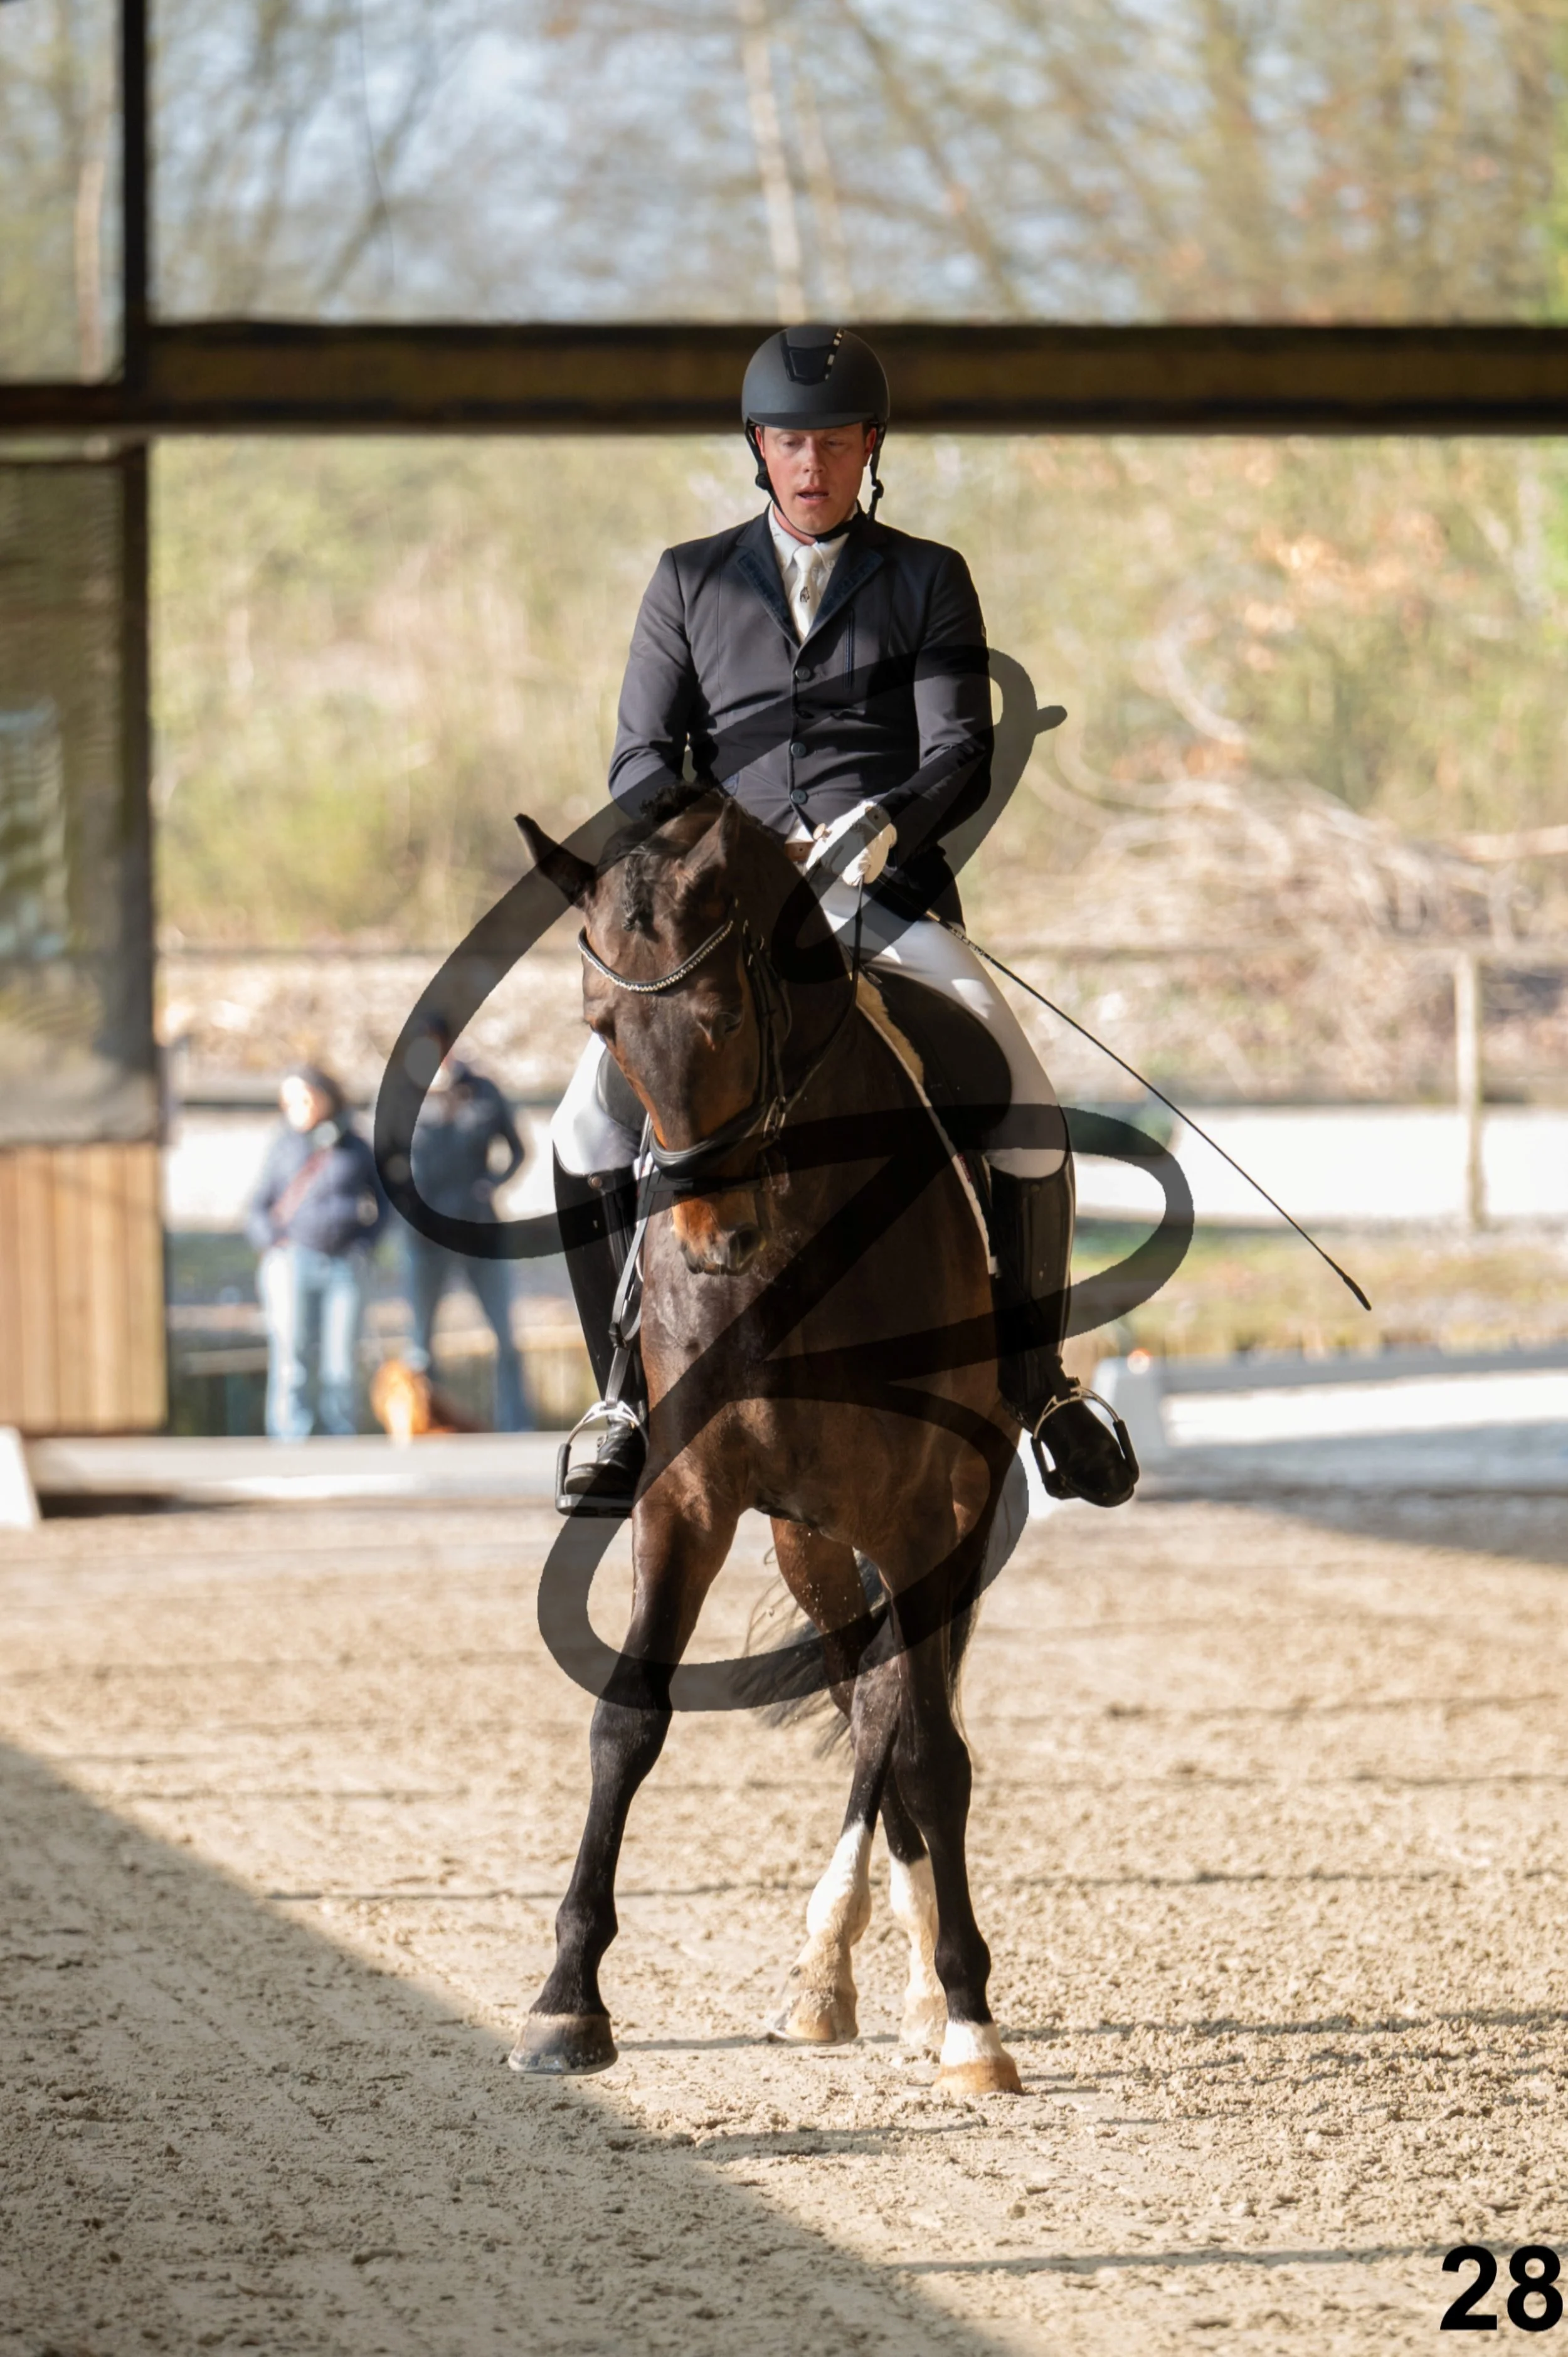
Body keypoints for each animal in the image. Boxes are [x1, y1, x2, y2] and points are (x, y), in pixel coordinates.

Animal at [512, 785, 1038, 2098]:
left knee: (905, 1711)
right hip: (809, 1535)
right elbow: (627, 1720)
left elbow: (932, 1749)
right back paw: (832, 1977)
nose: (713, 1240)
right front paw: (565, 1999)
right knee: (867, 1694)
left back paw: (918, 1988)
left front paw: (973, 2019)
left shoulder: (916, 1515)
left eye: (722, 1011)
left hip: (946, 1512)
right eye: (601, 1023)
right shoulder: (688, 1499)